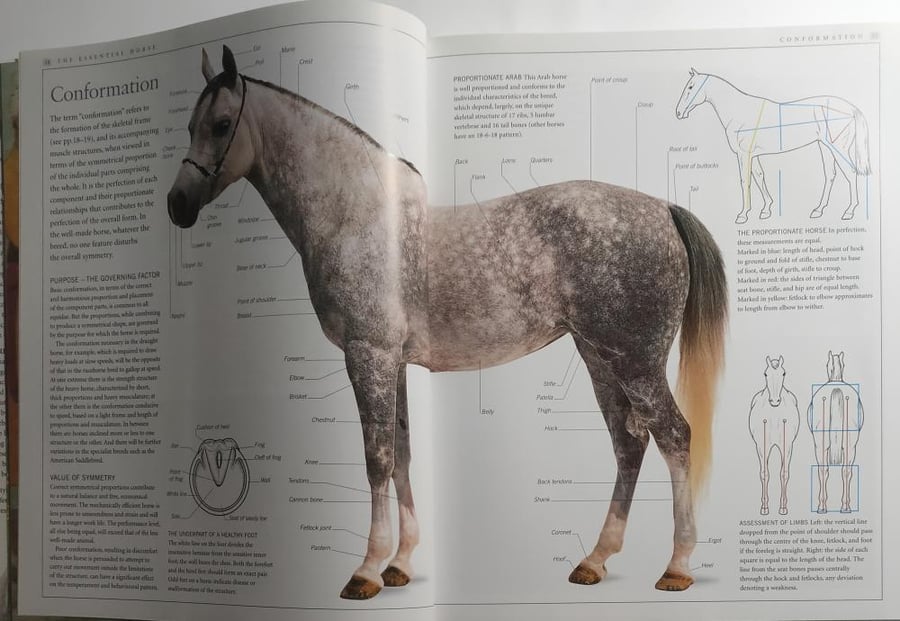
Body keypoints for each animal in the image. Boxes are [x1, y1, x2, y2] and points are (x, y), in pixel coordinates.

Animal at [167, 46, 728, 600]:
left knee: (674, 436)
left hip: (635, 360)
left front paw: (367, 570)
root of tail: (664, 209)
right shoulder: (391, 362)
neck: (357, 218)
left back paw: (677, 565)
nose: (177, 205)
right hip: (599, 356)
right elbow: (403, 453)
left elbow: (377, 458)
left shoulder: (367, 355)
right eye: (190, 124)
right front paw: (399, 564)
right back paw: (595, 559)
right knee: (630, 443)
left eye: (221, 124)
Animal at [674, 68, 871, 224]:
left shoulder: (744, 155)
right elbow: (759, 176)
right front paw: (766, 210)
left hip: (838, 148)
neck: (739, 113)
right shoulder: (753, 155)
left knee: (850, 173)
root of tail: (851, 108)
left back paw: (849, 211)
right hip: (825, 147)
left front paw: (743, 215)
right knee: (830, 175)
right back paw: (818, 210)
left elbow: (745, 181)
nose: (678, 112)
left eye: (690, 87)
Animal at [747, 356, 800, 516]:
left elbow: (784, 473)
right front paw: (764, 507)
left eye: (783, 373)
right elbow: (765, 474)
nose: (775, 401)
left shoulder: (787, 445)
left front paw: (783, 507)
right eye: (765, 373)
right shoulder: (761, 446)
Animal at [807, 351, 864, 513]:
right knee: (843, 470)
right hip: (850, 444)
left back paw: (824, 507)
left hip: (822, 445)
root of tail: (836, 388)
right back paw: (842, 507)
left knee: (825, 470)